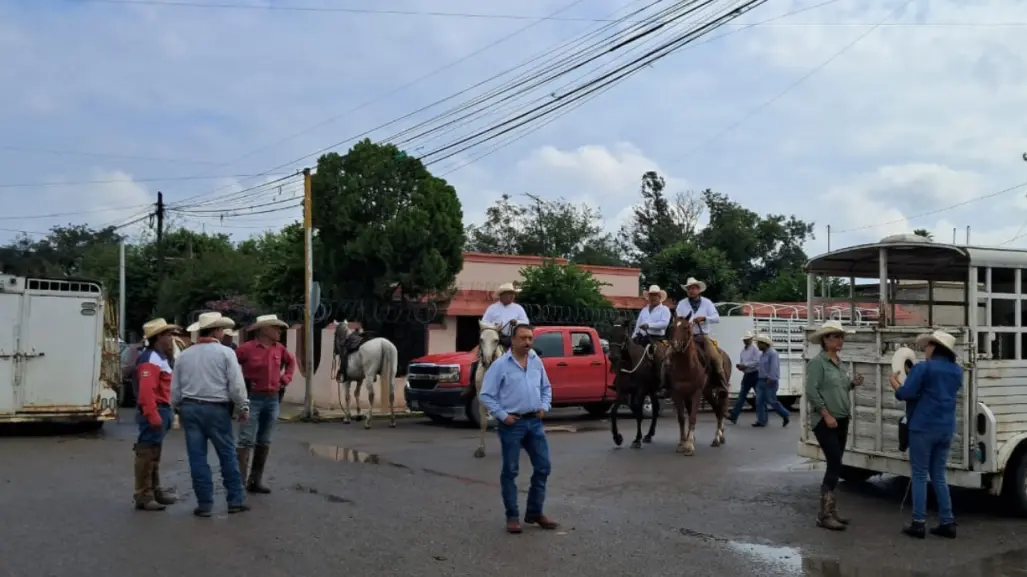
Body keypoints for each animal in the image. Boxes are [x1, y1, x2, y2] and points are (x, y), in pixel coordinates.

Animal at [661, 314, 735, 453]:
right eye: (672, 326)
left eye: (686, 327)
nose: (674, 344)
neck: (686, 367)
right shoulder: (677, 393)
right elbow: (682, 417)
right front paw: (682, 443)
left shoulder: (696, 392)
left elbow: (693, 417)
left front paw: (689, 445)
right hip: (707, 391)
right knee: (716, 408)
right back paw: (719, 436)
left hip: (717, 390)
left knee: (720, 409)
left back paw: (717, 438)